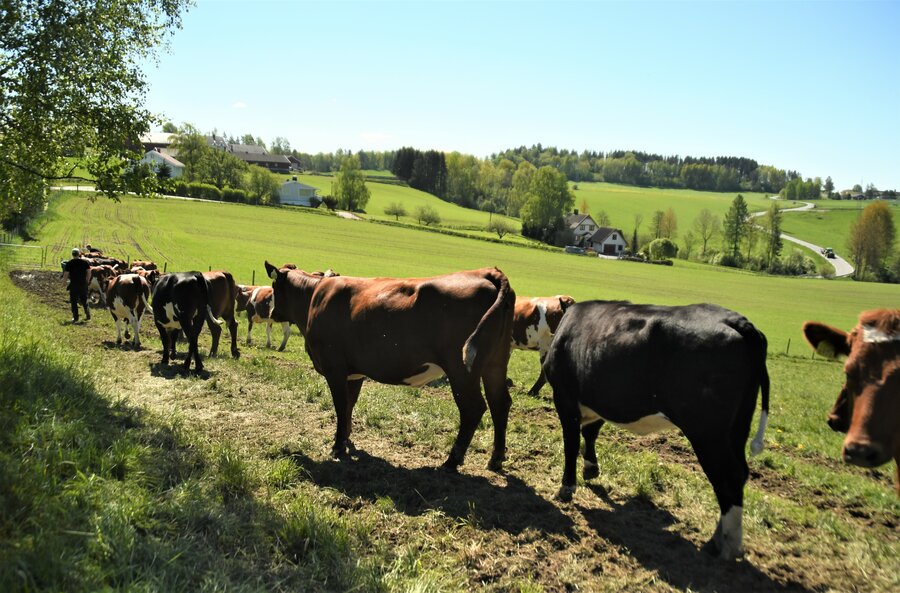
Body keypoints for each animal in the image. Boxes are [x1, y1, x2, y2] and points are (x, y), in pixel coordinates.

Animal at [264, 262, 512, 470]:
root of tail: (486, 271)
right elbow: (349, 405)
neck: (315, 296)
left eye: (275, 287)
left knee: (473, 408)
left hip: (461, 370)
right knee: (500, 403)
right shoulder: (354, 373)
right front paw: (346, 438)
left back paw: (452, 461)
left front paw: (337, 446)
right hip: (495, 364)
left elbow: (340, 406)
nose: (271, 313)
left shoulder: (335, 369)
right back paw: (495, 459)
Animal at [544, 300, 768, 560]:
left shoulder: (565, 397)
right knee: (739, 474)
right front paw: (590, 468)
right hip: (737, 427)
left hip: (707, 432)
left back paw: (728, 546)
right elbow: (590, 433)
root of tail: (736, 320)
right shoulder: (598, 401)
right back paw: (716, 539)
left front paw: (566, 487)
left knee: (728, 477)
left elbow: (571, 443)